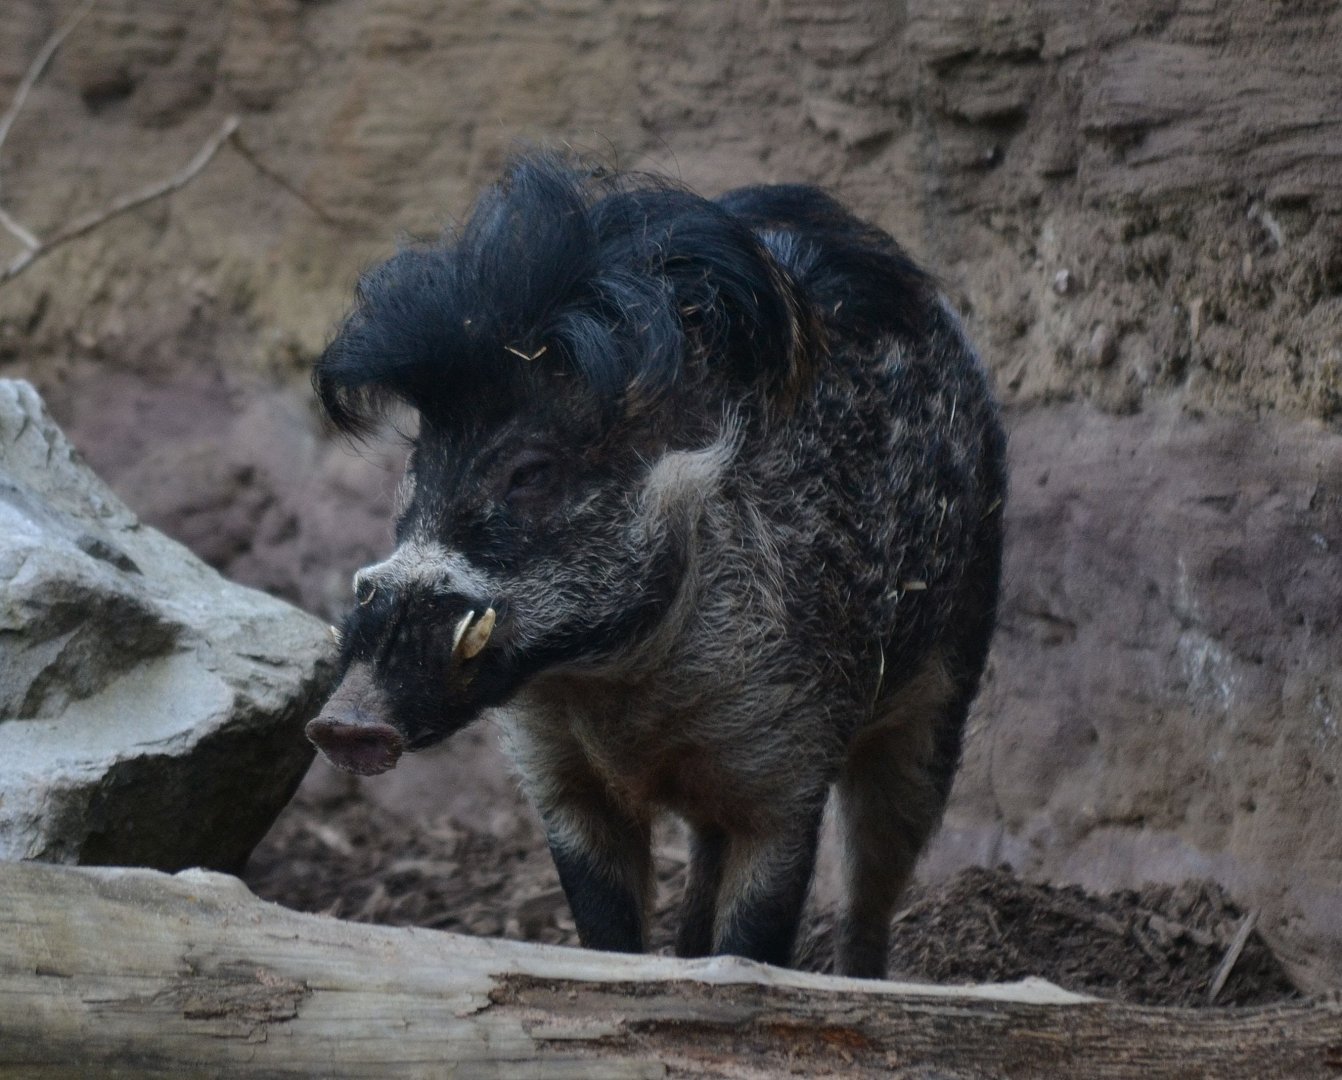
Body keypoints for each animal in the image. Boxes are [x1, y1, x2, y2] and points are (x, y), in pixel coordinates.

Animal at [307, 153, 1006, 978]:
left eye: (531, 472)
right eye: (421, 462)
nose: (342, 721)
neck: (621, 689)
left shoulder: (788, 768)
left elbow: (757, 937)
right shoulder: (559, 777)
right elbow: (607, 931)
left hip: (951, 666)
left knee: (879, 867)